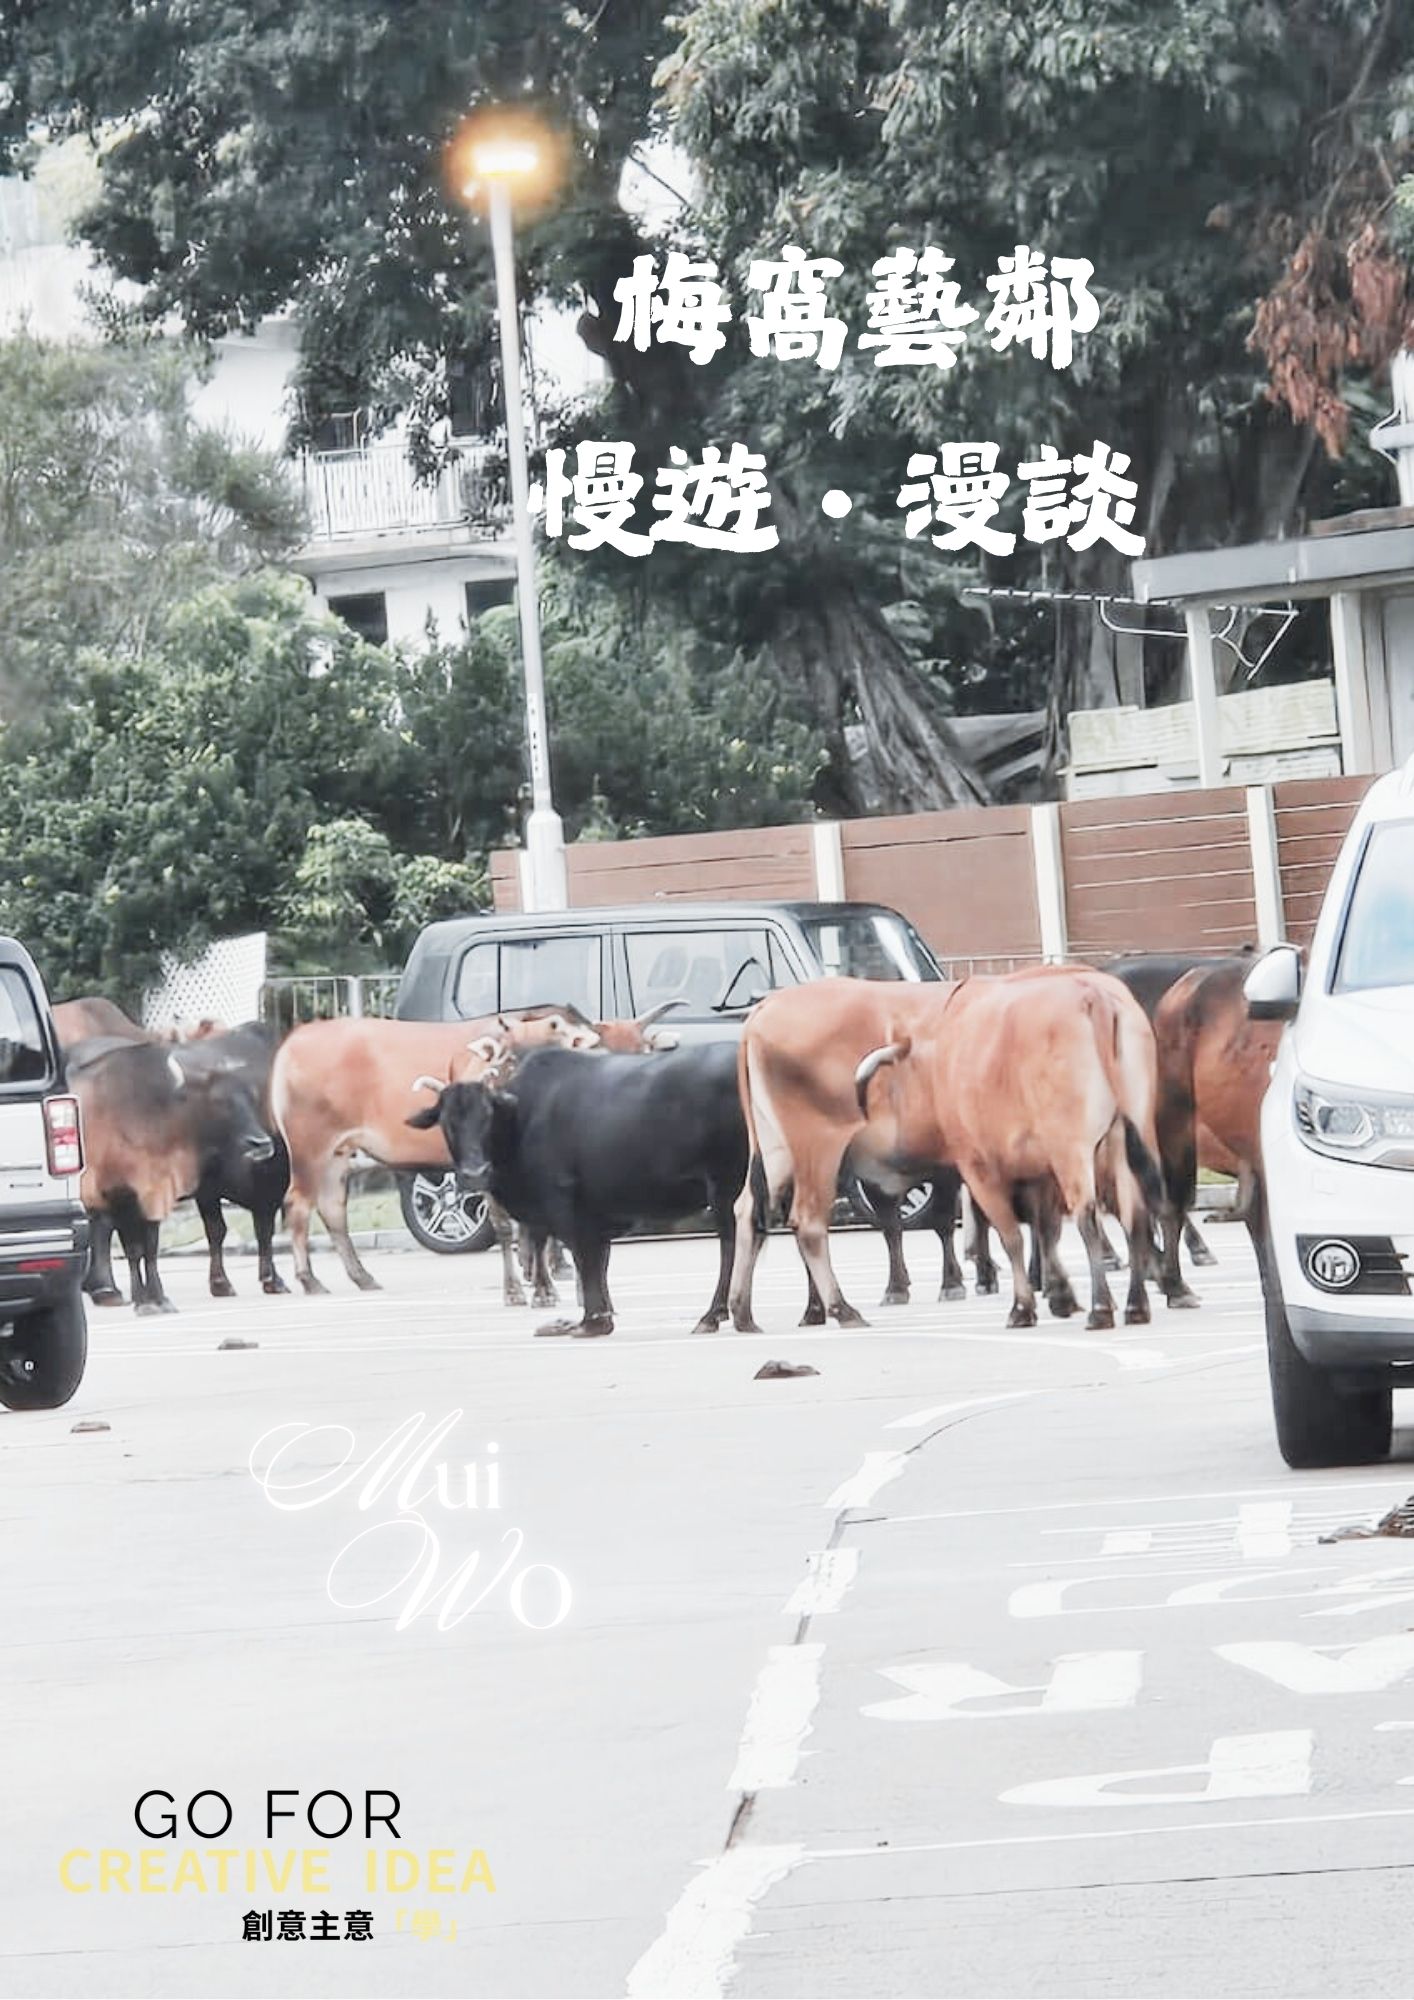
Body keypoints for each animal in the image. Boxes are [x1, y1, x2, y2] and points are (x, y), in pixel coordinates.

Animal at [66, 1036, 276, 1314]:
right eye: (219, 1101)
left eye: (251, 1098)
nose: (261, 1143)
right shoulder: (122, 1196)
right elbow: (134, 1249)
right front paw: (144, 1301)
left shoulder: (155, 1192)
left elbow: (150, 1248)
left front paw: (157, 1298)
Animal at [270, 1004, 678, 1296]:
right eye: (511, 1057)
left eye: (642, 1049)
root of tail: (294, 1040)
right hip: (310, 1150)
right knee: (298, 1205)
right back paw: (307, 1279)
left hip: (338, 1155)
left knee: (332, 1209)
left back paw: (362, 1276)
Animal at [406, 1041, 748, 1338]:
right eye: (446, 1122)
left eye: (488, 1116)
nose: (475, 1173)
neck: (522, 1118)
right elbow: (597, 1261)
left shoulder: (565, 1207)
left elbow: (585, 1260)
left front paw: (592, 1321)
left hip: (727, 1185)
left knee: (731, 1242)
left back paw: (714, 1313)